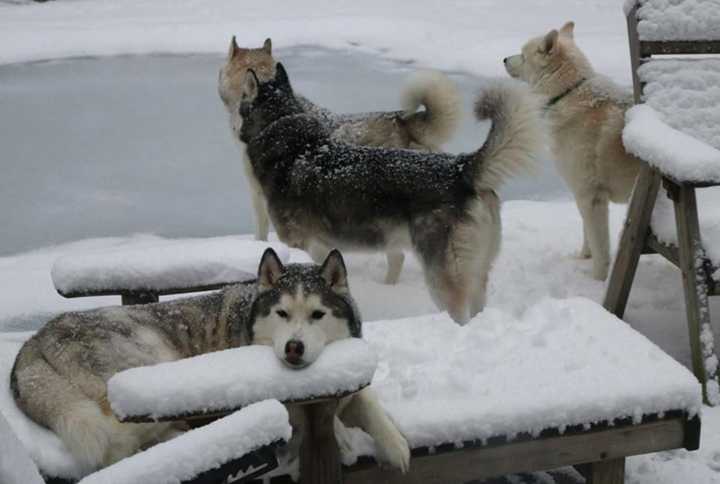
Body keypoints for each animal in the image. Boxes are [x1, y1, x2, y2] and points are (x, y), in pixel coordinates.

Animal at [504, 22, 640, 280]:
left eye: (523, 56)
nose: (504, 59)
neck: (567, 93)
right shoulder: (582, 195)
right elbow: (588, 235)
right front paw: (583, 257)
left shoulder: (591, 196)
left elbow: (600, 248)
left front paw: (598, 280)